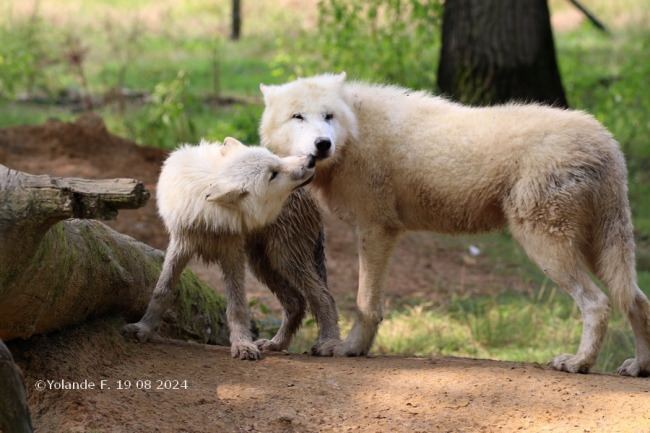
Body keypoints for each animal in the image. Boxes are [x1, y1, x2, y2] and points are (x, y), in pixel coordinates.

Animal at [123, 138, 342, 358]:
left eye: (276, 160)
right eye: (273, 174)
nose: (311, 159)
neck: (209, 215)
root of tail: (310, 196)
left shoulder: (232, 253)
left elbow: (237, 306)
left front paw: (242, 345)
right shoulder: (180, 245)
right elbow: (162, 290)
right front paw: (144, 328)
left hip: (283, 258)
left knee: (323, 296)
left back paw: (329, 342)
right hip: (263, 264)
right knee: (296, 303)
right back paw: (276, 344)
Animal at [258, 71, 648, 374]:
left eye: (328, 116)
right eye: (297, 117)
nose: (322, 144)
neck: (355, 132)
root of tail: (608, 143)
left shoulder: (376, 230)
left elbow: (366, 304)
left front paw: (349, 349)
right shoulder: (376, 232)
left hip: (548, 250)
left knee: (598, 304)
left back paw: (579, 363)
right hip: (596, 251)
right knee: (637, 300)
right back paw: (639, 366)